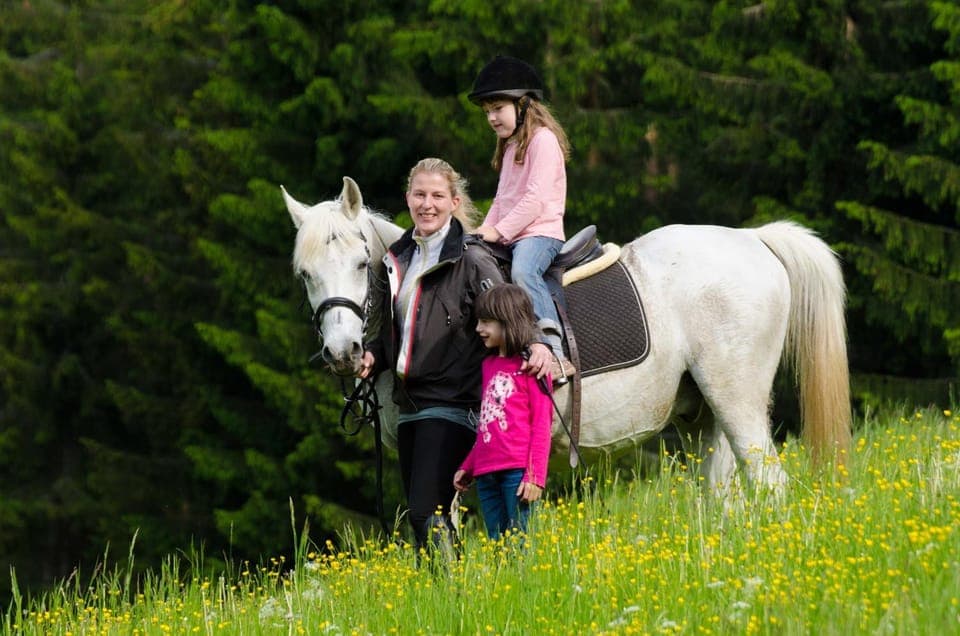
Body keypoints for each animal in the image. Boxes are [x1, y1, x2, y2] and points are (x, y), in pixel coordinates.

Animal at [282, 177, 851, 494]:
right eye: (304, 274)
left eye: (362, 264)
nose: (342, 351)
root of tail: (754, 239)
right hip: (706, 418)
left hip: (738, 403)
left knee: (771, 486)